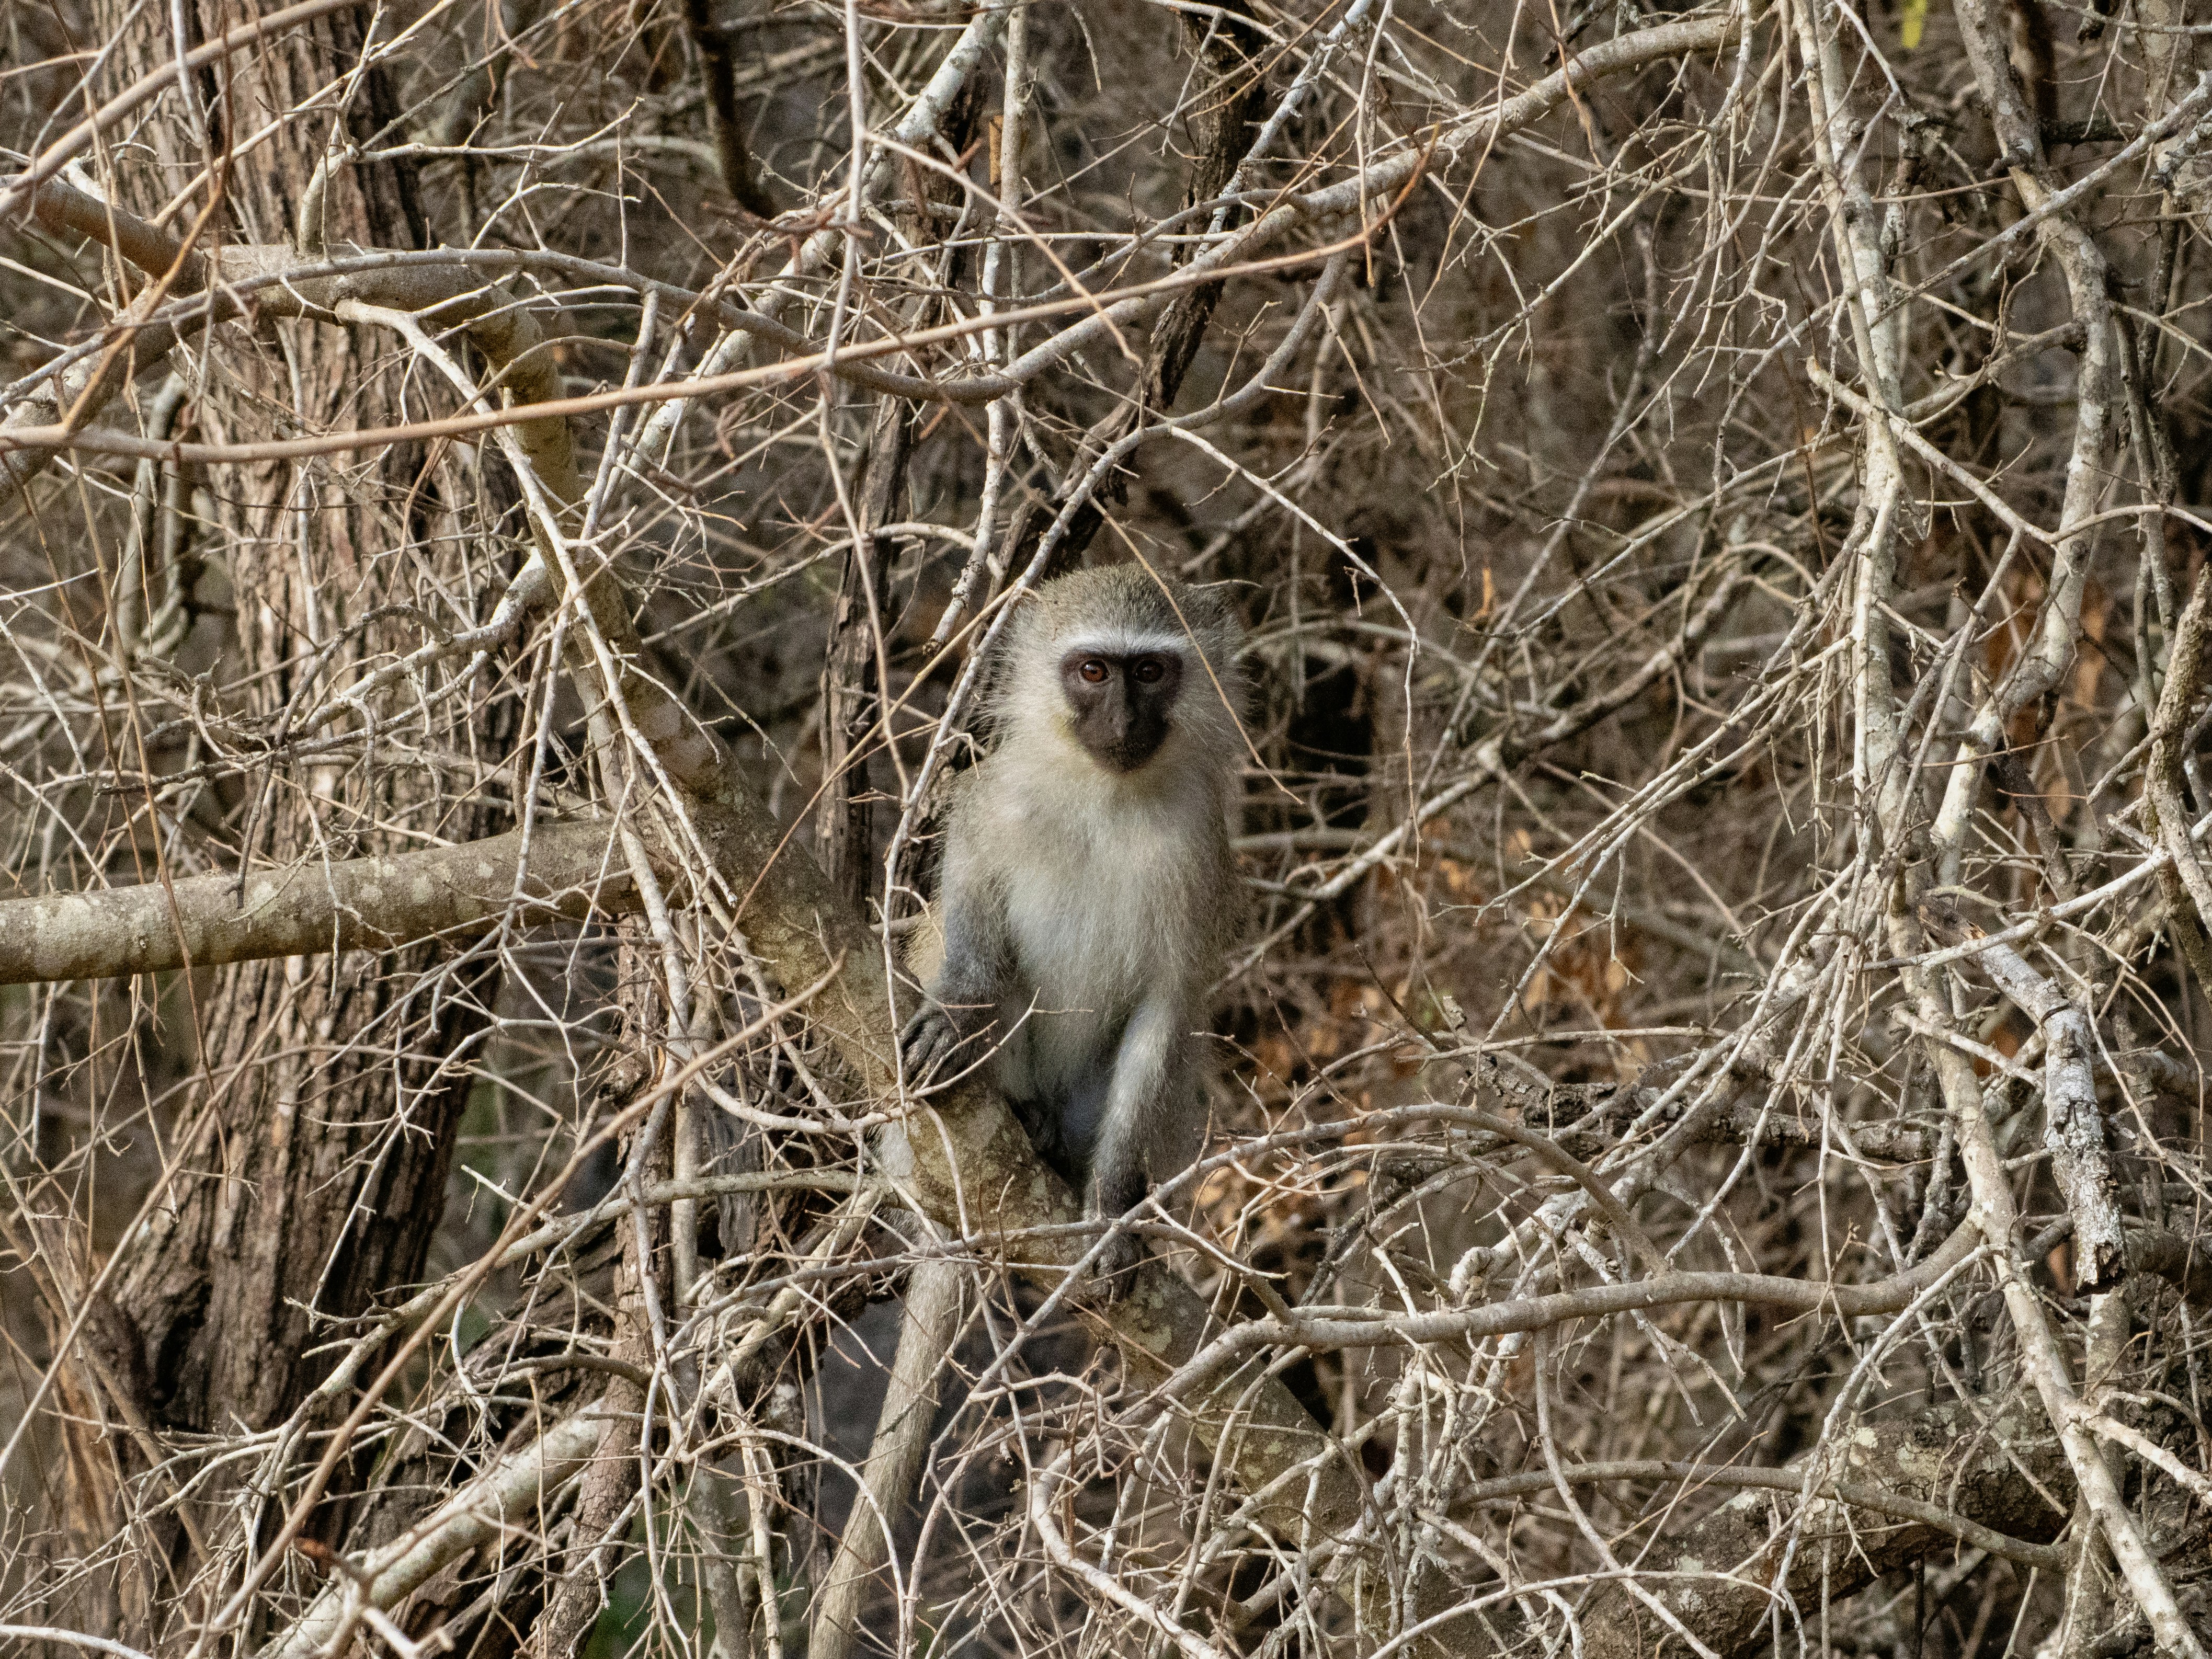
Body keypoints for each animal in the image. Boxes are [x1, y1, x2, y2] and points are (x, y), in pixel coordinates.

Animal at [900, 564, 1246, 1294]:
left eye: (1149, 671)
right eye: (1092, 671)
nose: (1122, 720)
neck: (1104, 791)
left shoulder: (1202, 851)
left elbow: (1166, 1006)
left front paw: (1112, 1207)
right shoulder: (993, 799)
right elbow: (972, 907)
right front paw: (957, 1008)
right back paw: (1023, 1117)